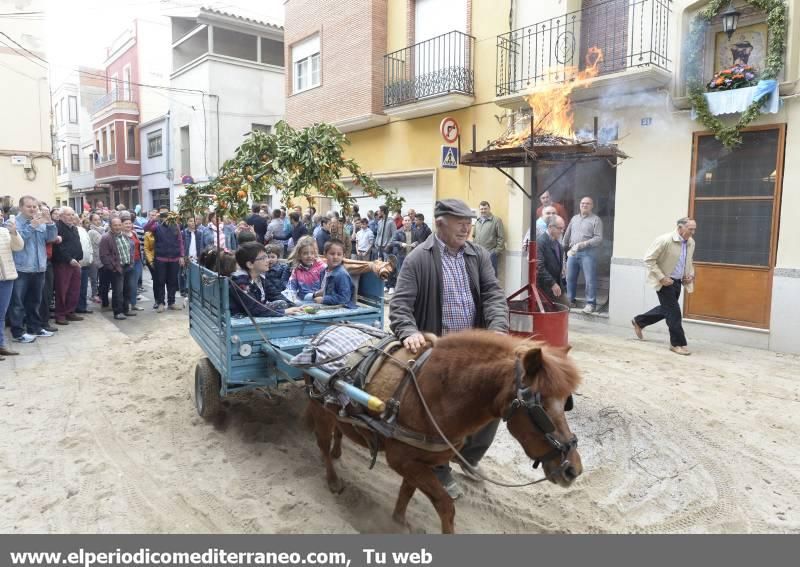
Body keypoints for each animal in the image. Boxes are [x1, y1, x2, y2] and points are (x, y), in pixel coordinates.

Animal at [304, 330, 580, 536]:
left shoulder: (418, 461)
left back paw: (338, 450)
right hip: (319, 408)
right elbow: (445, 505)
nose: (573, 470)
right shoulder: (402, 460)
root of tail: (323, 332)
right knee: (321, 442)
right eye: (541, 409)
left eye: (566, 402)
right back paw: (332, 479)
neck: (435, 393)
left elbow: (407, 491)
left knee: (339, 429)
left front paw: (398, 520)